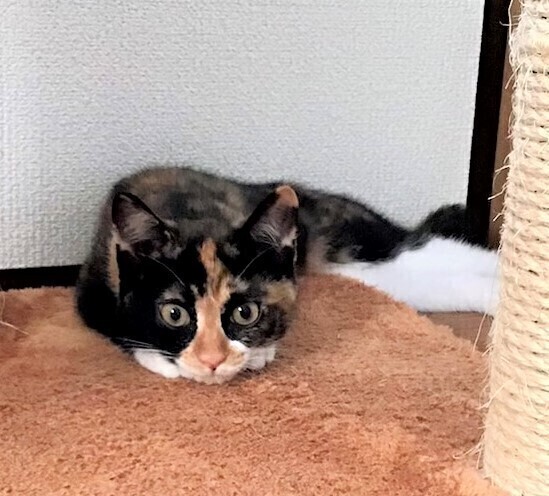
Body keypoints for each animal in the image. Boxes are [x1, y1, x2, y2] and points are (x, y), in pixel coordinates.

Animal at [76, 166, 499, 383]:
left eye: (245, 312)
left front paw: (259, 351)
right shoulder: (93, 288)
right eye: (173, 313)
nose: (211, 360)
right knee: (436, 275)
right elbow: (113, 323)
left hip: (357, 237)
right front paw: (165, 360)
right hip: (369, 273)